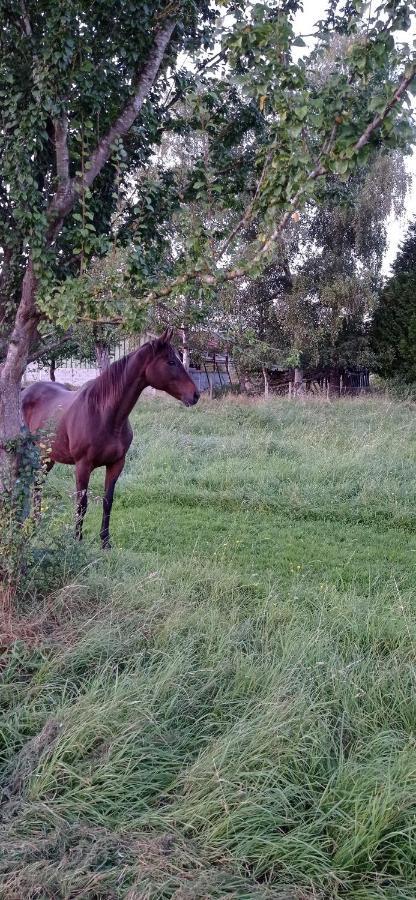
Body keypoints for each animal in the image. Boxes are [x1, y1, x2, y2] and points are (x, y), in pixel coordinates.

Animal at [21, 326, 200, 544]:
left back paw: (35, 526)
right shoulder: (83, 466)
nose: (195, 395)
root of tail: (24, 391)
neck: (104, 414)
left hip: (47, 457)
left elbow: (108, 501)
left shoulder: (116, 464)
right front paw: (77, 539)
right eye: (171, 362)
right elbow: (82, 503)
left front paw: (105, 541)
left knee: (38, 486)